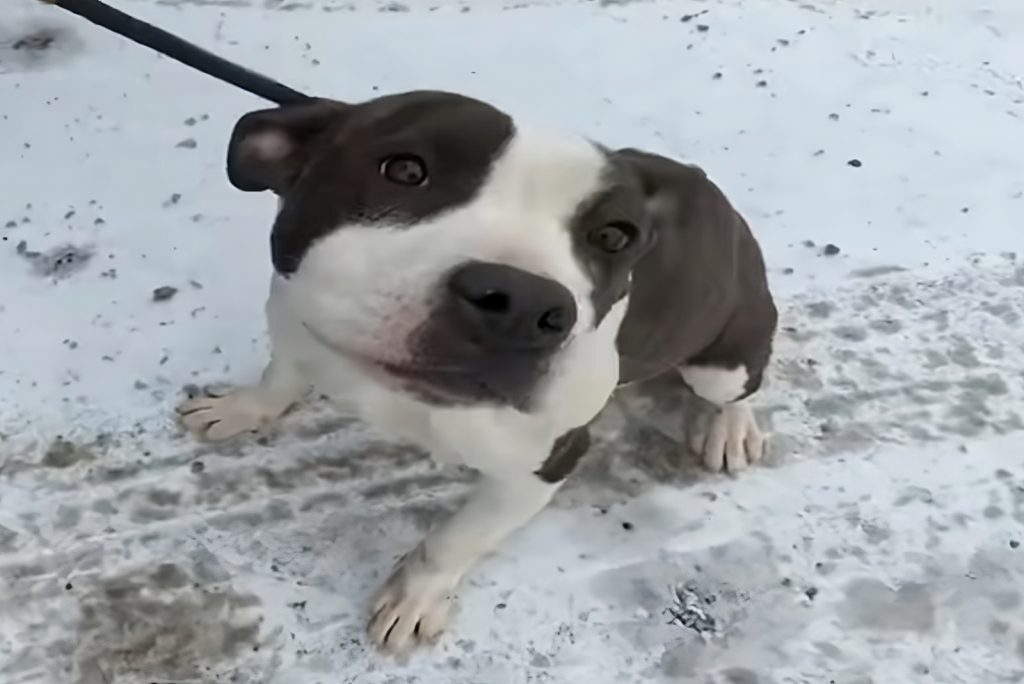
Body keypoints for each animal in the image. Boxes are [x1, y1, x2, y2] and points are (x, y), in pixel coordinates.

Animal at [176, 89, 774, 651]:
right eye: (404, 170)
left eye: (612, 236)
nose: (521, 304)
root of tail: (703, 185)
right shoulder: (296, 327)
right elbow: (278, 379)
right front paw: (241, 409)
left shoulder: (539, 468)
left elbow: (455, 540)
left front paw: (414, 598)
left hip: (723, 358)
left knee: (736, 389)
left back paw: (730, 429)